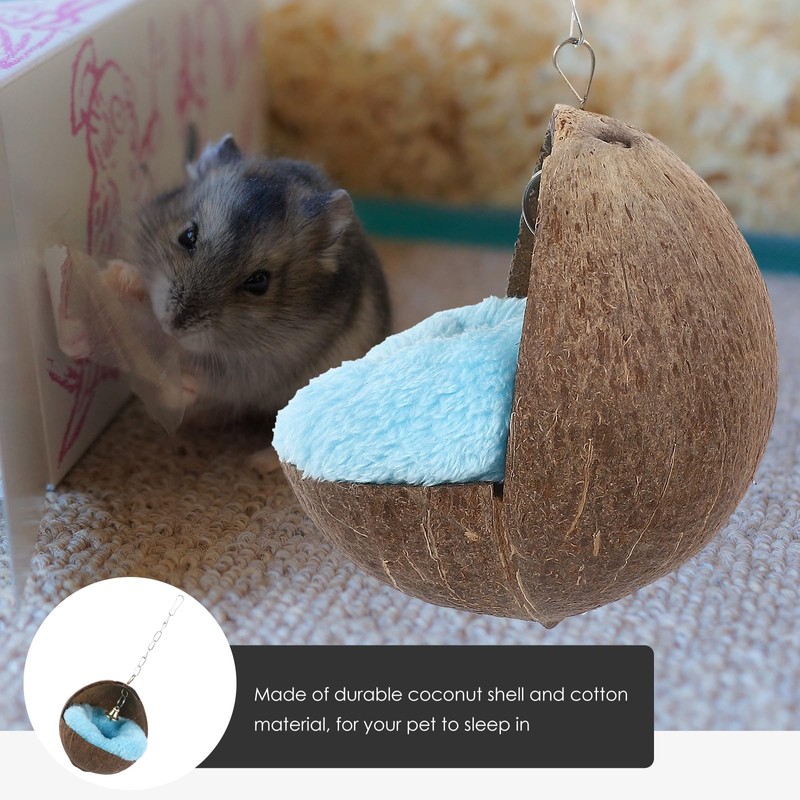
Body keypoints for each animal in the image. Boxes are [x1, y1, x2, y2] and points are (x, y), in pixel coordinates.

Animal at [126, 135, 391, 456]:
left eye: (259, 282)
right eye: (187, 236)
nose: (170, 326)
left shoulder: (261, 369)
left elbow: (215, 381)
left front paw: (183, 383)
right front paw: (125, 279)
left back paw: (257, 460)